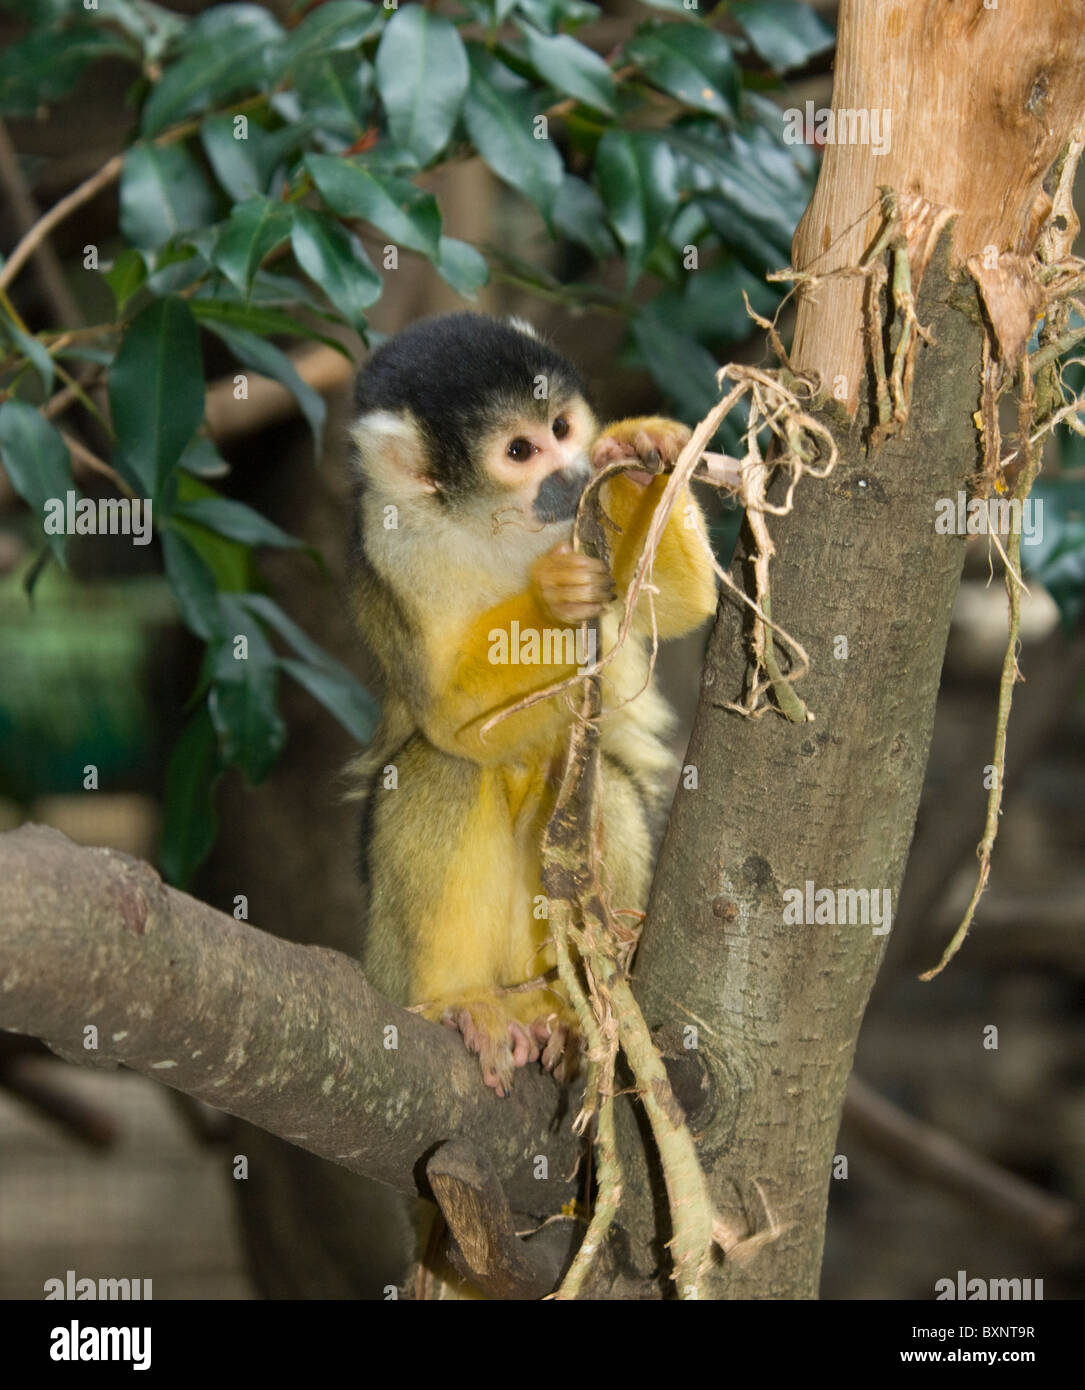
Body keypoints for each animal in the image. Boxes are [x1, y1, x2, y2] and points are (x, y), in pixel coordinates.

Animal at [351, 312, 716, 1095]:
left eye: (562, 425)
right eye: (520, 451)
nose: (572, 472)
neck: (501, 529)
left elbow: (675, 607)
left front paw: (639, 456)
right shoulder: (396, 546)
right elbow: (452, 722)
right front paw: (554, 597)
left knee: (599, 787)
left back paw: (569, 1006)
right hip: (385, 961)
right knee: (444, 767)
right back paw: (463, 1001)